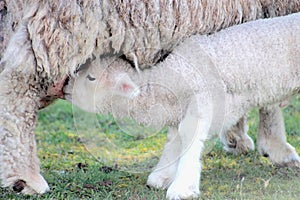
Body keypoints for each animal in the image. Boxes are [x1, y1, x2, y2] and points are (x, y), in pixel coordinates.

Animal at [0, 0, 300, 195]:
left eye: (92, 78)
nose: (66, 86)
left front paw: (236, 135)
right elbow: (269, 97)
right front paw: (276, 146)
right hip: (58, 23)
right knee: (16, 92)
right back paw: (24, 177)